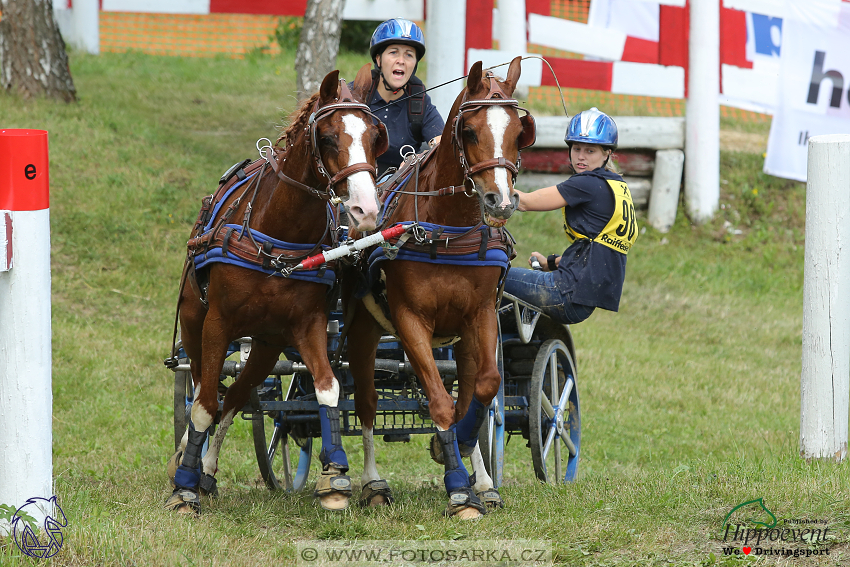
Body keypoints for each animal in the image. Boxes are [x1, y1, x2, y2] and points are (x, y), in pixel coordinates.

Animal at [165, 65, 388, 516]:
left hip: (266, 347)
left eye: (376, 136)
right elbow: (204, 405)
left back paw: (207, 470)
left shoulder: (308, 324)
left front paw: (334, 478)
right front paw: (184, 489)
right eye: (329, 137)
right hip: (195, 324)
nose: (366, 210)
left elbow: (327, 388)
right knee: (202, 388)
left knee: (236, 395)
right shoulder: (217, 324)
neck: (280, 233)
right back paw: (189, 463)